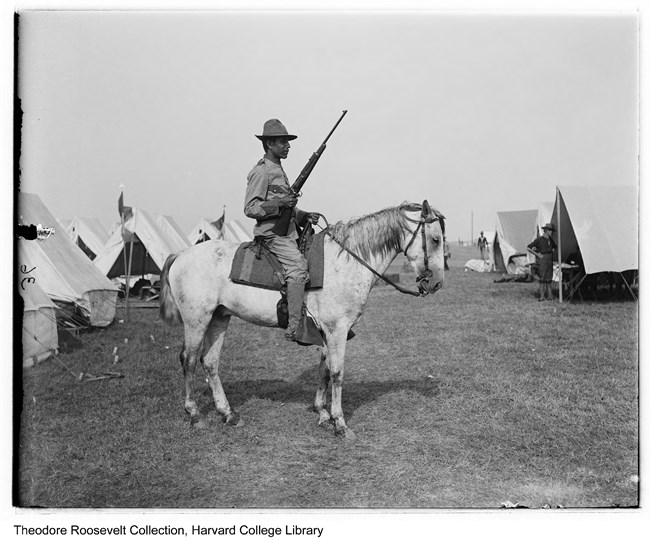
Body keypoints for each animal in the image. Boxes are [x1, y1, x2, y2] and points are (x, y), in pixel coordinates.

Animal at [159, 202, 442, 440]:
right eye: (436, 239)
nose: (436, 284)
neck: (346, 262)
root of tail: (181, 255)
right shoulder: (337, 329)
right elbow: (337, 372)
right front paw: (340, 422)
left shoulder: (327, 331)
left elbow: (324, 369)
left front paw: (323, 413)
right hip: (197, 319)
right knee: (189, 360)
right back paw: (195, 414)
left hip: (219, 317)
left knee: (210, 362)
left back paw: (227, 414)